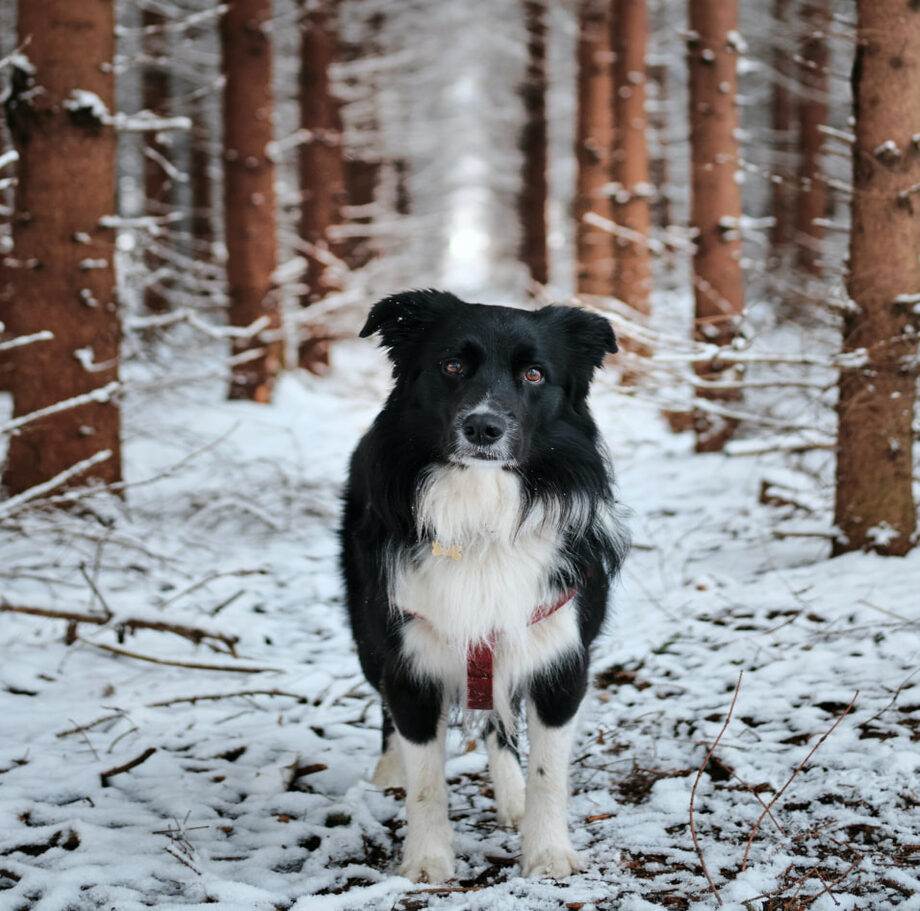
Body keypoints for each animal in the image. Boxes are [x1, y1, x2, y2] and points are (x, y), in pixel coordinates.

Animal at [342, 290, 628, 884]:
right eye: (452, 366)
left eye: (535, 374)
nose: (483, 428)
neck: (482, 509)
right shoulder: (409, 660)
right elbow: (426, 781)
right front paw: (426, 861)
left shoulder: (561, 660)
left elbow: (548, 773)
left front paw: (547, 853)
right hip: (368, 635)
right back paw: (387, 774)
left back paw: (511, 796)